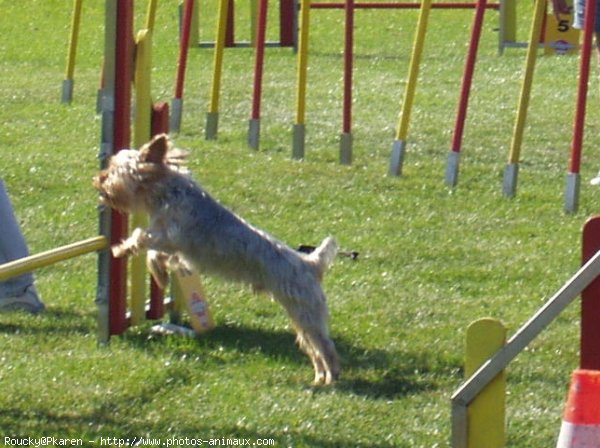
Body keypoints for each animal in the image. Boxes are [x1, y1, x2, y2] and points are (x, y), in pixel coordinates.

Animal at [92, 134, 340, 384]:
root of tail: (311, 263)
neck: (165, 192)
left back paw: (330, 378)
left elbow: (141, 237)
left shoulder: (172, 235)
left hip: (305, 309)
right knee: (312, 346)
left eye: (115, 171)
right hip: (300, 314)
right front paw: (161, 274)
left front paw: (121, 250)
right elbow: (155, 251)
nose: (98, 179)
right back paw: (319, 377)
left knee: (324, 346)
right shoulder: (168, 240)